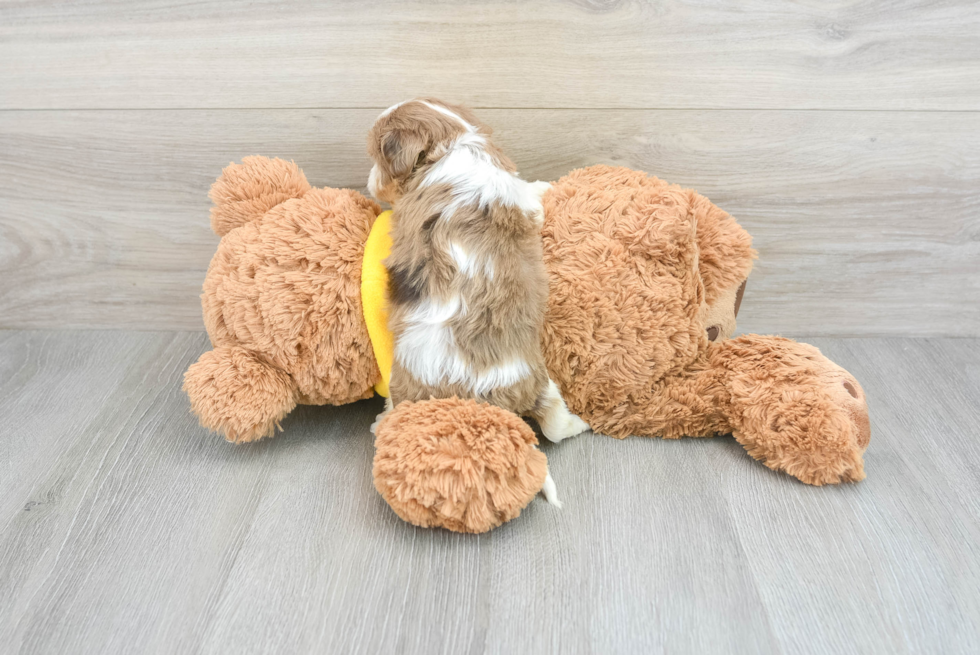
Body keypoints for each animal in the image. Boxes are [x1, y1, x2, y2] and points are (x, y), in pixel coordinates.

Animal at [366, 98, 584, 502]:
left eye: (377, 158)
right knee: (555, 424)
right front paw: (544, 185)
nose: (370, 182)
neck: (452, 143)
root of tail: (475, 399)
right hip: (539, 380)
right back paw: (580, 424)